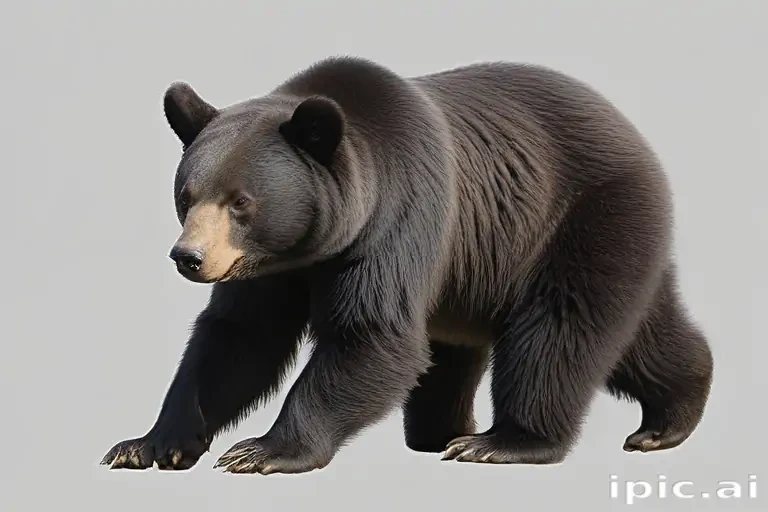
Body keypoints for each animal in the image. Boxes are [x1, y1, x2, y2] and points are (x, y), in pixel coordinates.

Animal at [100, 56, 713, 474]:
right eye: (186, 195)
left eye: (240, 202)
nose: (189, 257)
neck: (316, 243)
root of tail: (636, 136)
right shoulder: (271, 269)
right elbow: (237, 339)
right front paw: (147, 444)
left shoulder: (398, 219)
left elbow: (373, 336)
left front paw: (261, 450)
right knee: (639, 330)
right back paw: (666, 417)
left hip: (580, 217)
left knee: (560, 328)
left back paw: (500, 441)